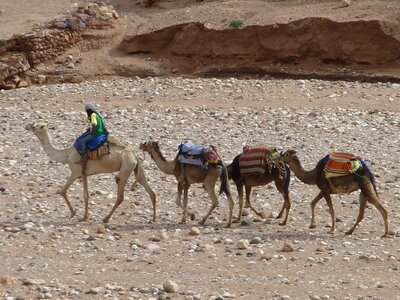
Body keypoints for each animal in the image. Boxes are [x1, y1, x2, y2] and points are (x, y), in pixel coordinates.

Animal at [25, 122, 156, 223]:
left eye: (38, 126)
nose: (28, 125)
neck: (67, 154)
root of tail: (134, 155)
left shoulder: (76, 171)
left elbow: (62, 191)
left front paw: (73, 213)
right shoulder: (84, 174)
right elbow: (86, 195)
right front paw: (84, 217)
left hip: (125, 168)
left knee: (120, 194)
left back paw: (106, 219)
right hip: (136, 168)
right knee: (150, 190)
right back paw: (154, 218)